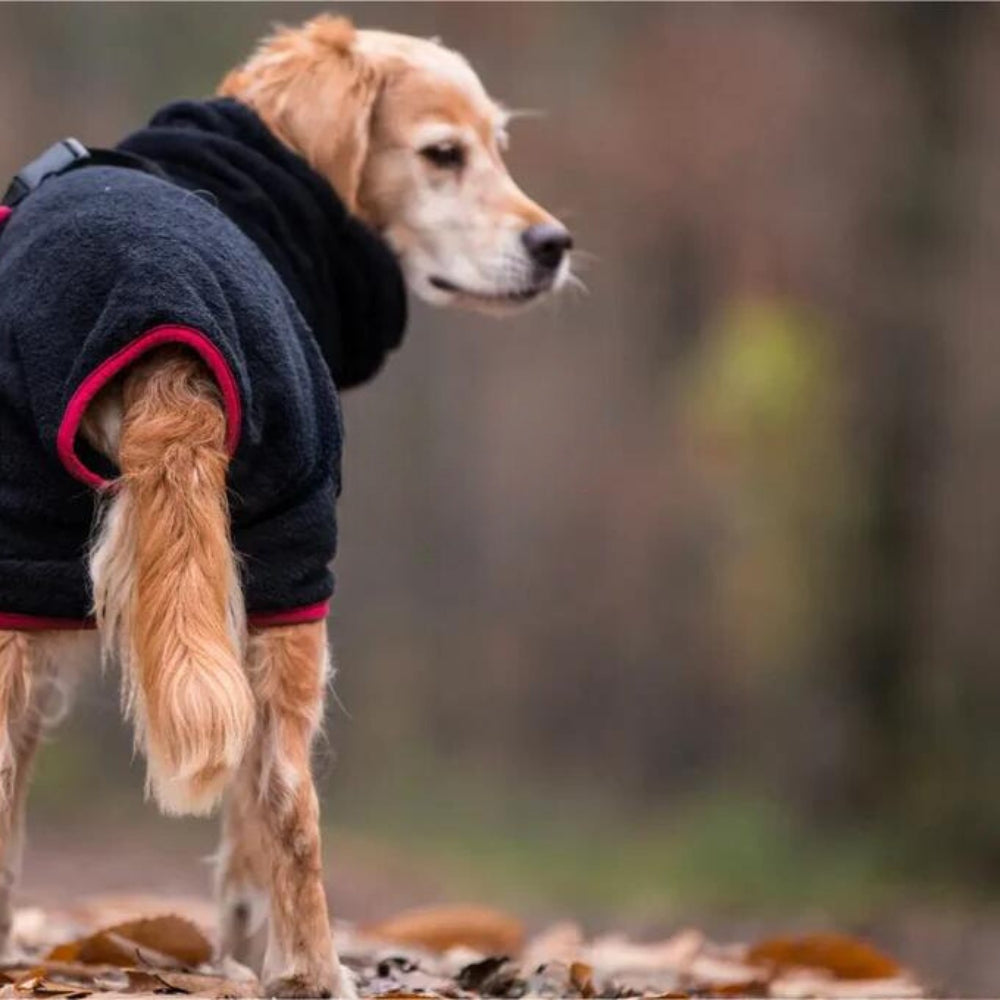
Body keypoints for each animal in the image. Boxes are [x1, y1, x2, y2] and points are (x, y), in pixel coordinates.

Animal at [0, 17, 572, 1000]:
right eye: (444, 155)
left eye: (498, 145)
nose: (554, 244)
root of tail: (166, 335)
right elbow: (250, 831)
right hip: (295, 568)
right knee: (286, 798)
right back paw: (310, 968)